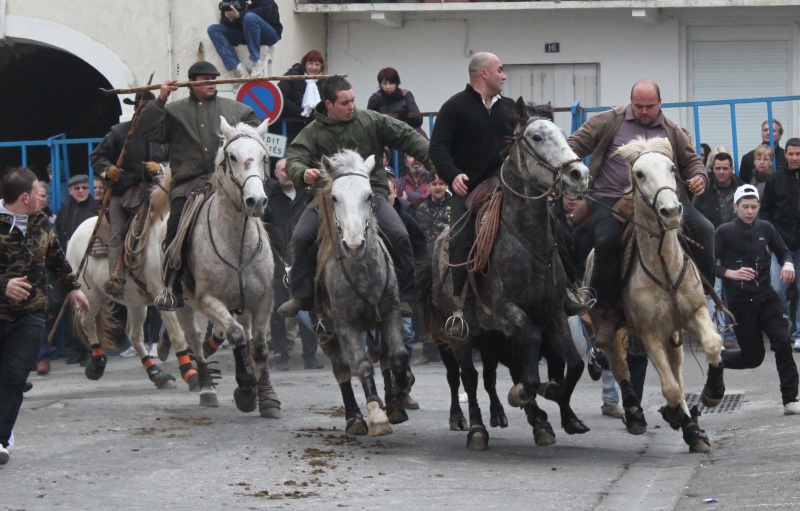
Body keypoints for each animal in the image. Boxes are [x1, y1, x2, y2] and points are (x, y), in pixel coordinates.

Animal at [69, 172, 200, 392]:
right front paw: (191, 373)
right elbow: (179, 334)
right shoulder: (164, 296)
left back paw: (157, 374)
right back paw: (96, 364)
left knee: (135, 335)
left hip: (135, 302)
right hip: (90, 295)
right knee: (87, 323)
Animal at [166, 120, 282, 420]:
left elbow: (259, 346)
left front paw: (267, 397)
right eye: (232, 157)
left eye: (264, 157)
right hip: (184, 306)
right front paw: (245, 388)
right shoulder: (209, 300)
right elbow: (235, 335)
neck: (236, 242)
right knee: (196, 340)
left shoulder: (263, 299)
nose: (256, 201)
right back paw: (206, 387)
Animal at [314, 150, 412, 438]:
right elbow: (362, 364)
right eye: (335, 197)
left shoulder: (390, 312)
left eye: (369, 195)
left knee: (386, 358)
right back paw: (355, 417)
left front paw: (400, 389)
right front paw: (376, 415)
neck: (363, 271)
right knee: (342, 369)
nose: (355, 244)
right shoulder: (347, 324)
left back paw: (393, 402)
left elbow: (398, 355)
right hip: (326, 331)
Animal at [422, 101, 592, 452]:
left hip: (489, 336)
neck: (527, 242)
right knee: (468, 378)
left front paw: (555, 404)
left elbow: (573, 364)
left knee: (488, 375)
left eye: (562, 133)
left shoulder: (554, 313)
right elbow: (528, 358)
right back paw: (475, 428)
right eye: (537, 137)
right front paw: (525, 393)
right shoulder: (508, 311)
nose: (578, 175)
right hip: (461, 334)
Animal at [580, 136, 724, 452]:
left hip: (674, 336)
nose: (671, 211)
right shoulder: (649, 332)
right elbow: (669, 388)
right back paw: (635, 413)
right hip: (609, 329)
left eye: (673, 168)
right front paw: (677, 417)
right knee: (620, 367)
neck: (664, 266)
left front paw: (712, 392)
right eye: (639, 173)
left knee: (677, 371)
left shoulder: (695, 313)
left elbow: (711, 344)